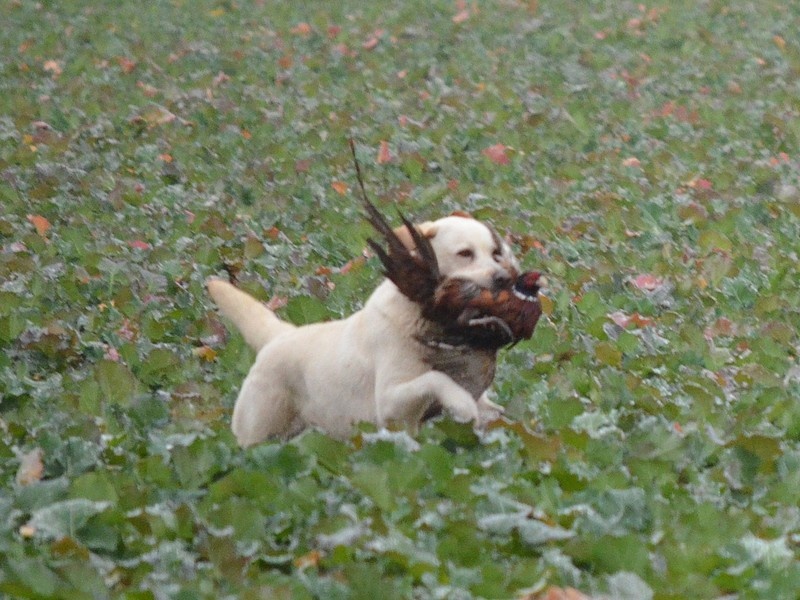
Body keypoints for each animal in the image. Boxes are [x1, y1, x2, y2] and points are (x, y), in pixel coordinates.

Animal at [208, 212, 524, 446]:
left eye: (495, 253)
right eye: (465, 253)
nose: (504, 278)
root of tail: (280, 335)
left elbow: (487, 406)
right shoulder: (388, 405)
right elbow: (436, 378)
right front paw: (461, 404)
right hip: (257, 435)